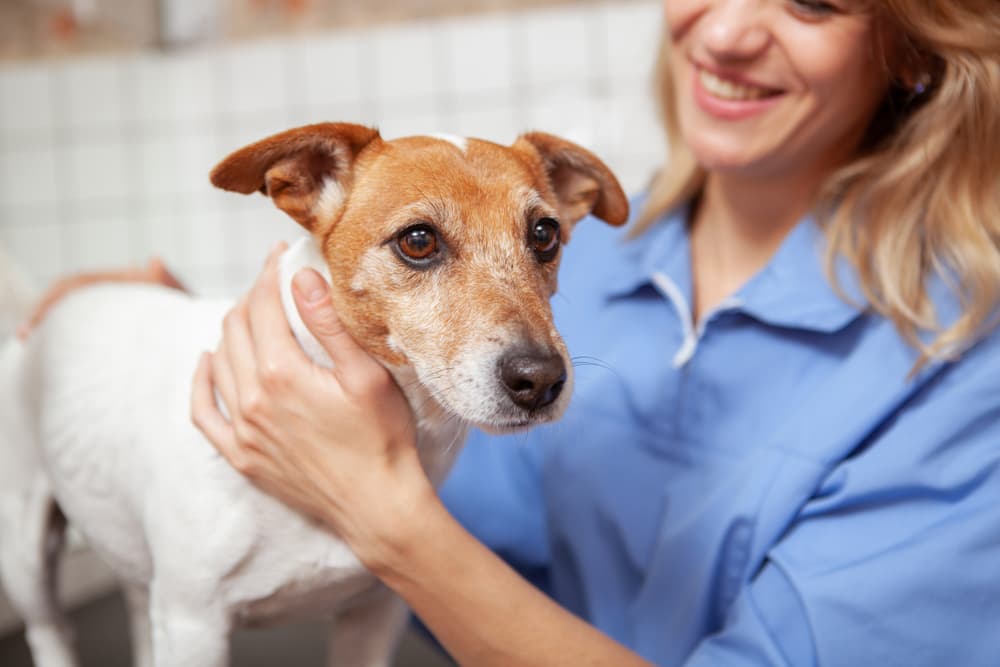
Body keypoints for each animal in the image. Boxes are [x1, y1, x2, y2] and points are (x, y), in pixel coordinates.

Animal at [0, 122, 624, 664]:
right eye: (419, 240)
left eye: (544, 235)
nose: (540, 379)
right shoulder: (193, 623)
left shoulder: (373, 616)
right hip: (27, 558)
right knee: (50, 631)